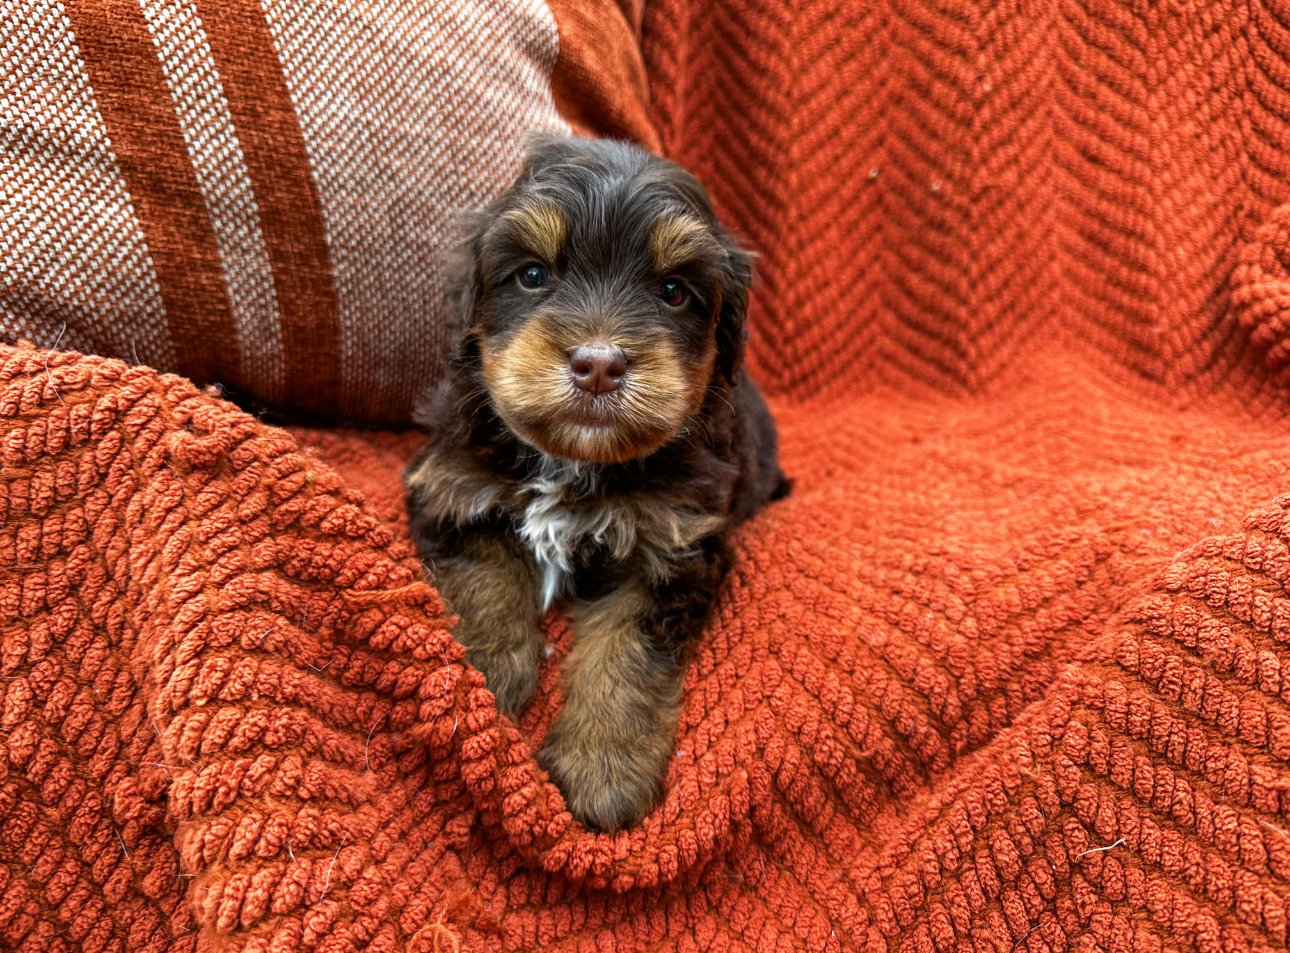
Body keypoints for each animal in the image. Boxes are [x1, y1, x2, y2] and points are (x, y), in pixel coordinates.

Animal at [405, 136, 784, 835]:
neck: (574, 464)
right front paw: (485, 666)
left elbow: (625, 650)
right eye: (532, 275)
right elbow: (485, 571)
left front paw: (601, 768)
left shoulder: (673, 542)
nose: (599, 364)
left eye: (673, 291)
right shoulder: (452, 484)